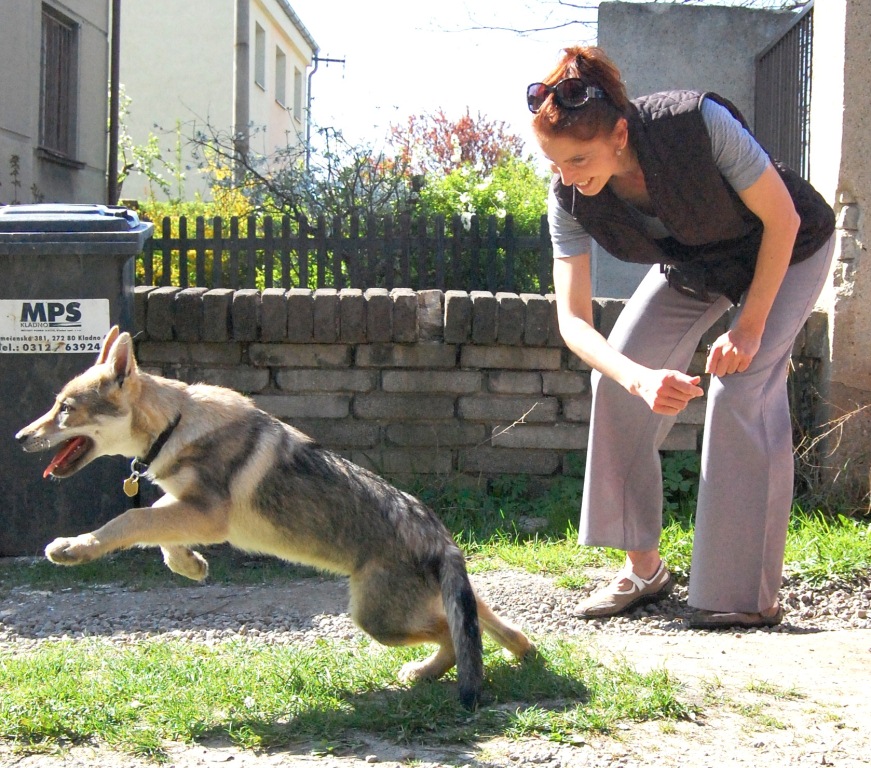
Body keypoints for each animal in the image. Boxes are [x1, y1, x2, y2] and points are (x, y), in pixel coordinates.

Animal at [15, 326, 532, 708]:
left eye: (65, 409)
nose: (20, 437)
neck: (176, 424)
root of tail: (442, 538)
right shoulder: (188, 507)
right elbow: (155, 530)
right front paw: (189, 565)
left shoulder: (208, 515)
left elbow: (129, 523)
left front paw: (74, 547)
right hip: (419, 609)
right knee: (487, 623)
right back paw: (520, 653)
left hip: (376, 621)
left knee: (454, 636)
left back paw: (427, 672)